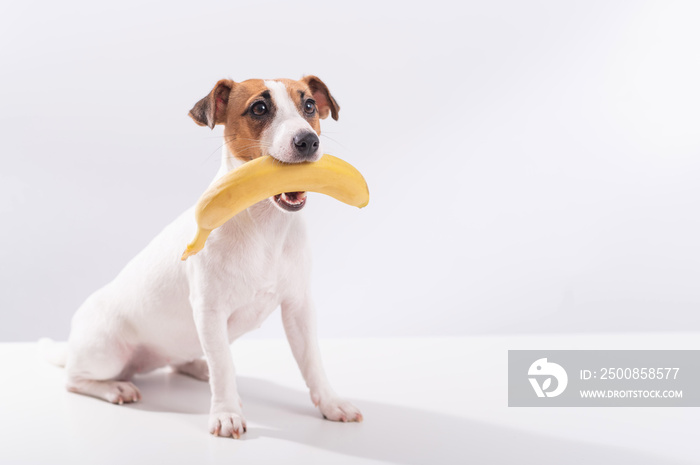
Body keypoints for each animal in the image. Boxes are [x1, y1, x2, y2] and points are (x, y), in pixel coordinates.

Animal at [52, 74, 364, 436]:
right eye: (259, 108)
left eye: (310, 105)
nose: (308, 141)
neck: (265, 226)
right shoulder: (210, 312)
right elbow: (223, 367)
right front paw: (226, 413)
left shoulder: (298, 307)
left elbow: (312, 361)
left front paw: (330, 402)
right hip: (105, 353)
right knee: (73, 379)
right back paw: (114, 387)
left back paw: (194, 366)